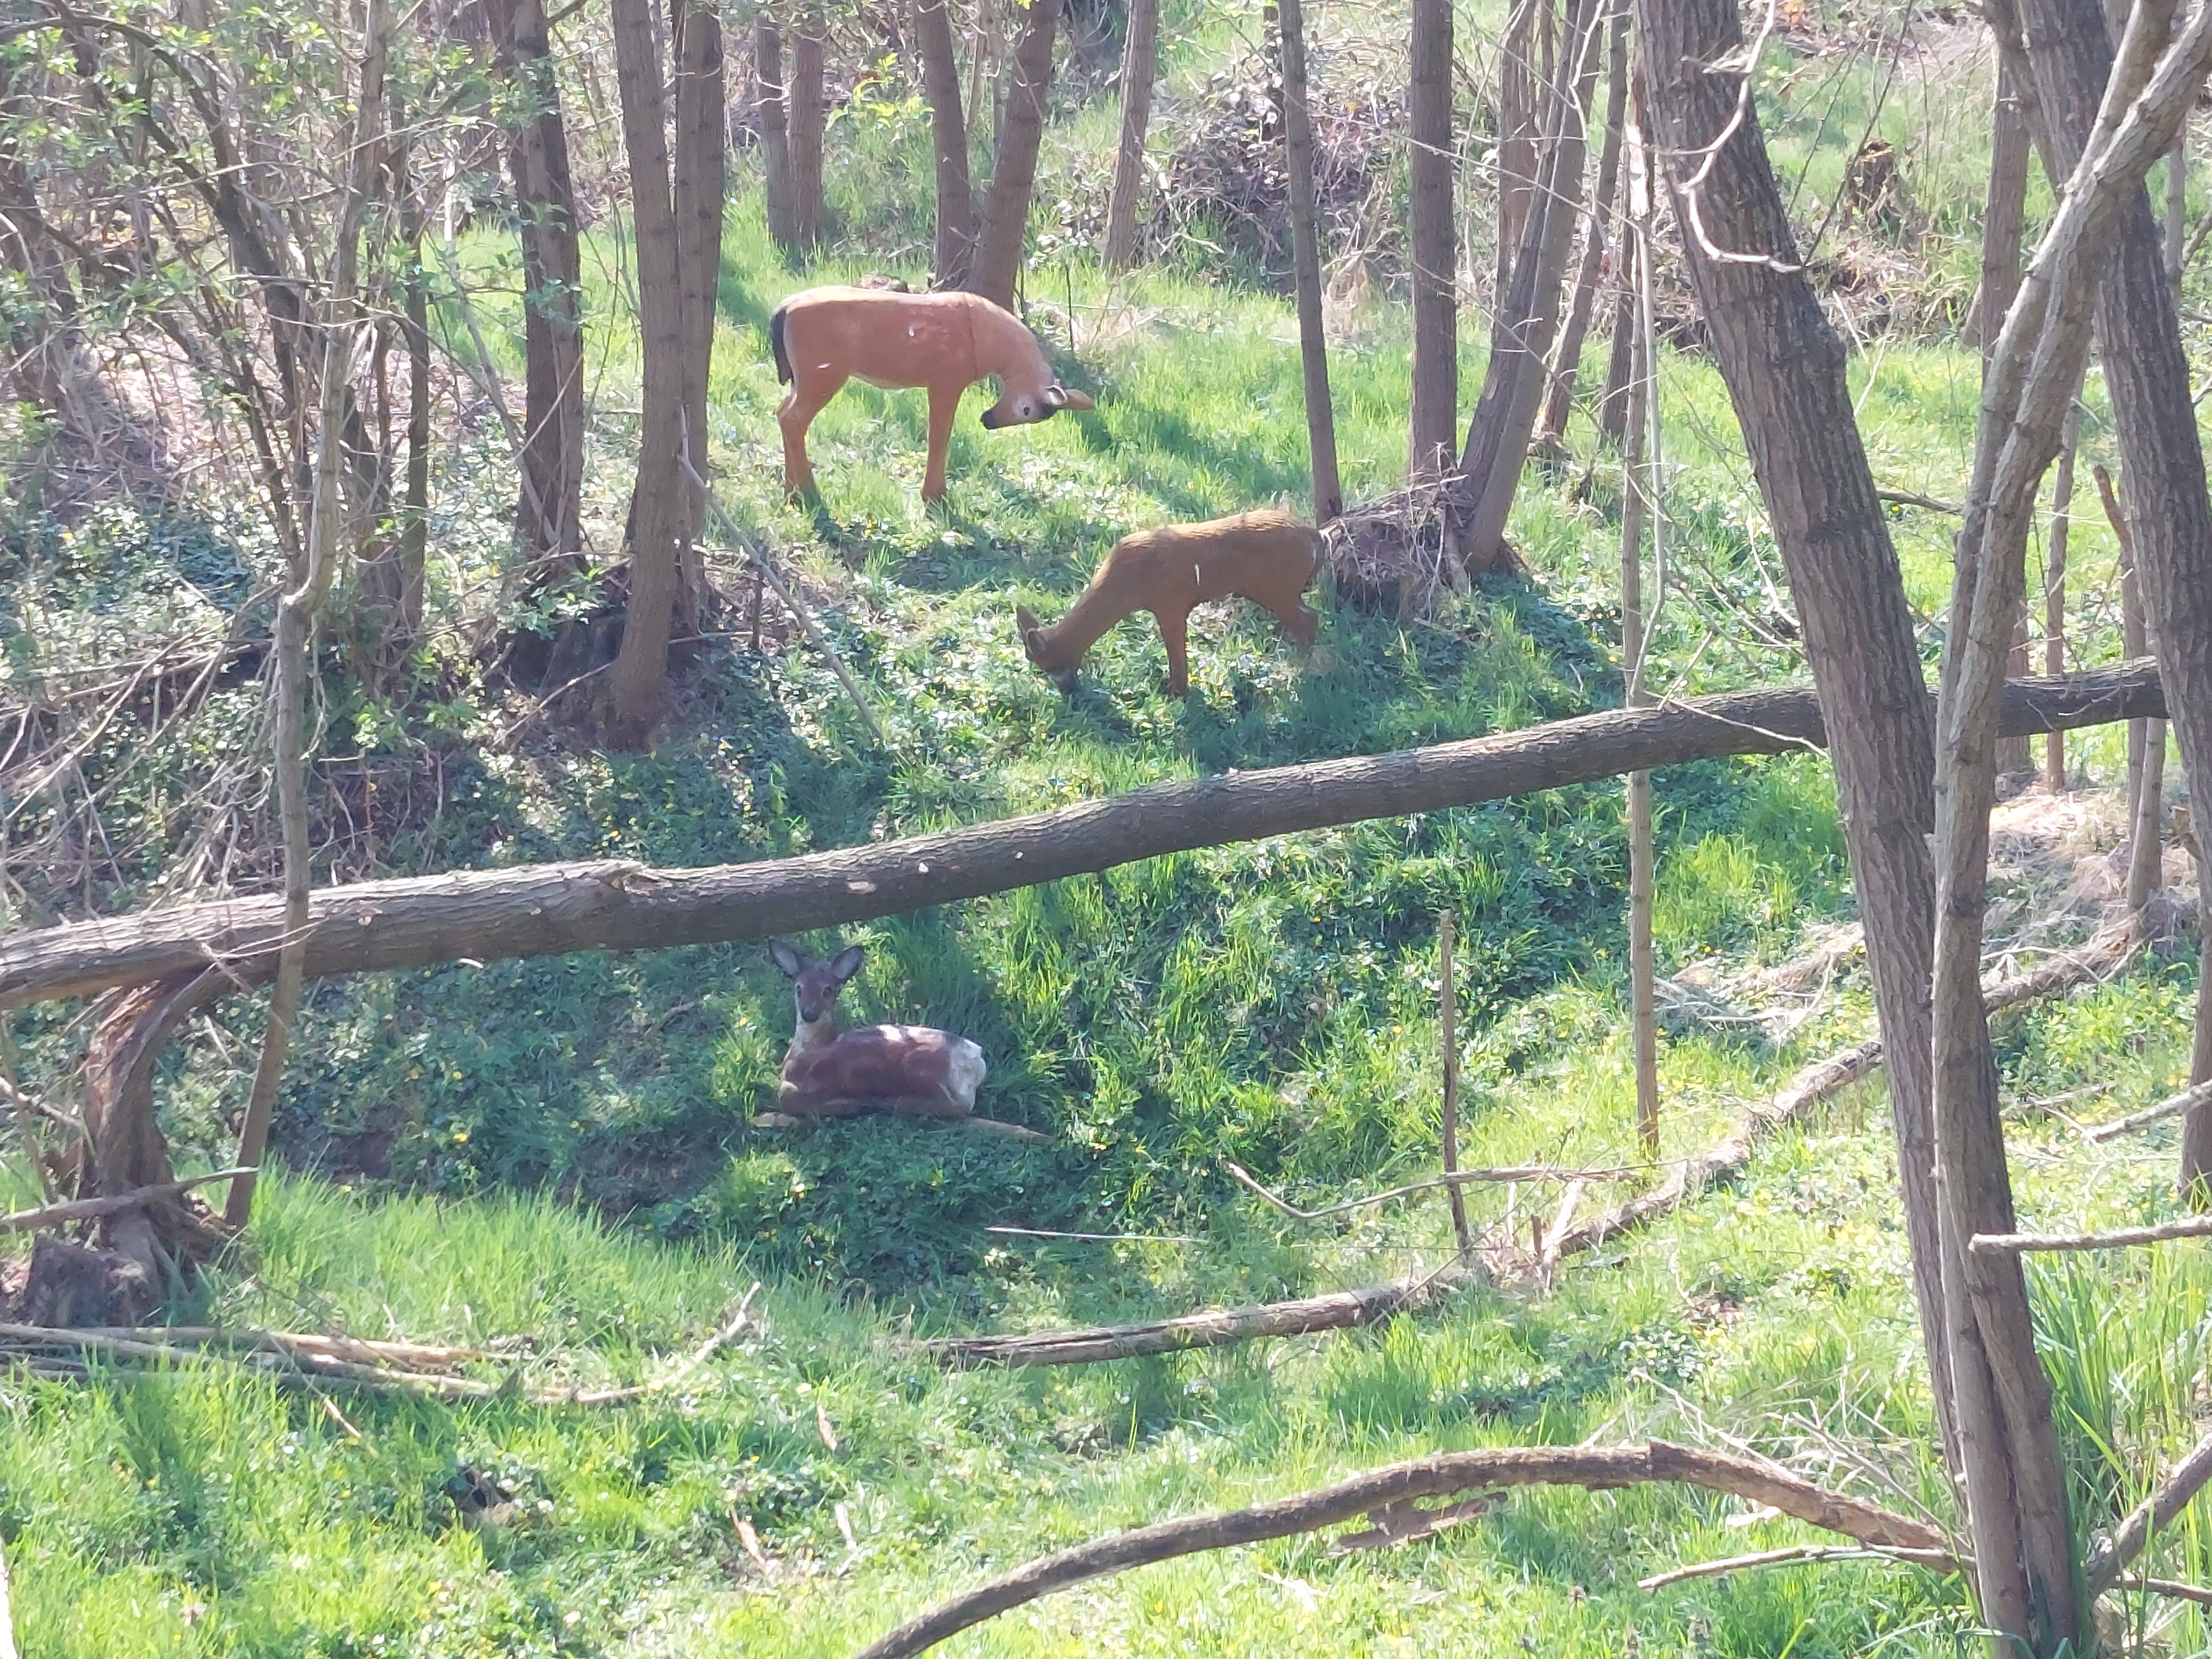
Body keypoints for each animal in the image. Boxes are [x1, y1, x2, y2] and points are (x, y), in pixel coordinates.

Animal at [768, 285, 1094, 505]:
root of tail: (782, 310)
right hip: (824, 372)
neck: (991, 346)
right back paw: (805, 490)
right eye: (1027, 410)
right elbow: (940, 435)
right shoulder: (946, 380)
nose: (988, 420)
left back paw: (791, 488)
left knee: (782, 413)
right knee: (794, 419)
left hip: (804, 377)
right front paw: (935, 495)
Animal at [1015, 508, 1324, 697]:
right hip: (1284, 590)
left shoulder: (1170, 603)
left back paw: (1306, 670)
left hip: (1277, 589)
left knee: (1308, 620)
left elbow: (1175, 649)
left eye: (1048, 665)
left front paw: (1176, 693)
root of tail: (1315, 536)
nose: (1069, 693)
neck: (1125, 582)